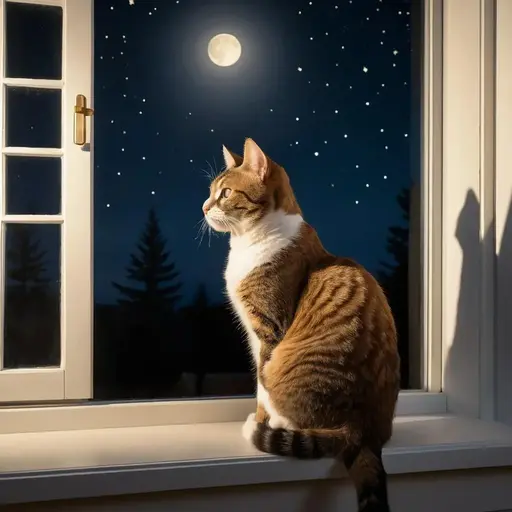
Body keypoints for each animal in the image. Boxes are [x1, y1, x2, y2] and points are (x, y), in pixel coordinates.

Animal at [202, 138, 402, 510]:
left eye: (225, 193)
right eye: (210, 192)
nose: (204, 207)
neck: (248, 243)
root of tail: (362, 431)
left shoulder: (267, 330)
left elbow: (260, 386)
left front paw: (263, 420)